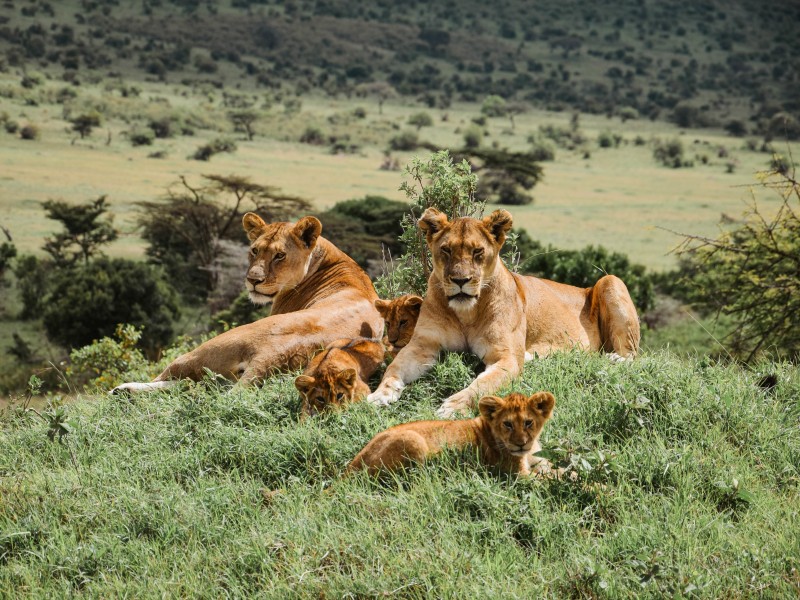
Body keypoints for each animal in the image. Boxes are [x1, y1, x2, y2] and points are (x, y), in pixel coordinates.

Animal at [112, 213, 383, 394]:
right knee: (190, 386)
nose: (253, 280)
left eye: (280, 255)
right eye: (254, 250)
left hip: (210, 347)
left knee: (172, 379)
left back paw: (123, 390)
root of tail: (270, 357)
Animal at [347, 391, 556, 476]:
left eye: (528, 422)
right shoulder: (516, 474)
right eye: (507, 424)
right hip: (413, 440)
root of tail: (353, 464)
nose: (520, 443)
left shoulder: (540, 462)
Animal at [367, 208, 640, 417]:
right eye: (446, 250)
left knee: (633, 354)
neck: (466, 313)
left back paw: (617, 358)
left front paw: (452, 407)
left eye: (477, 252)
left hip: (611, 281)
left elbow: (481, 385)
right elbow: (394, 369)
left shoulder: (505, 357)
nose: (460, 281)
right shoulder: (423, 345)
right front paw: (380, 394)